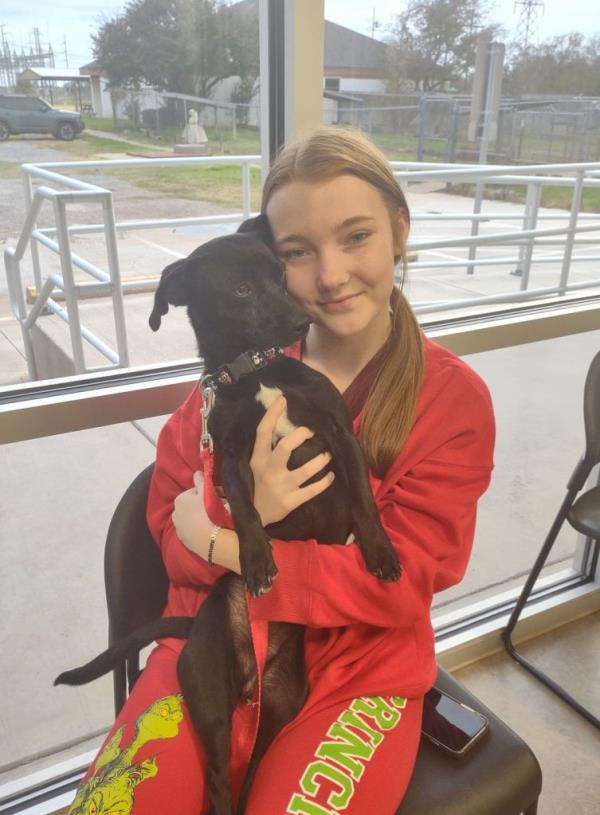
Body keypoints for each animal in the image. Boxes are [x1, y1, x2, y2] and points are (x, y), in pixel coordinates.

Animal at [56, 215, 400, 815]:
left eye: (281, 273)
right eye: (241, 290)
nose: (302, 319)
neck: (255, 374)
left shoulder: (340, 435)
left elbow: (363, 498)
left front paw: (378, 552)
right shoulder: (233, 460)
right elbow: (243, 509)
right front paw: (259, 561)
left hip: (281, 706)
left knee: (253, 771)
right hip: (207, 698)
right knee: (219, 779)